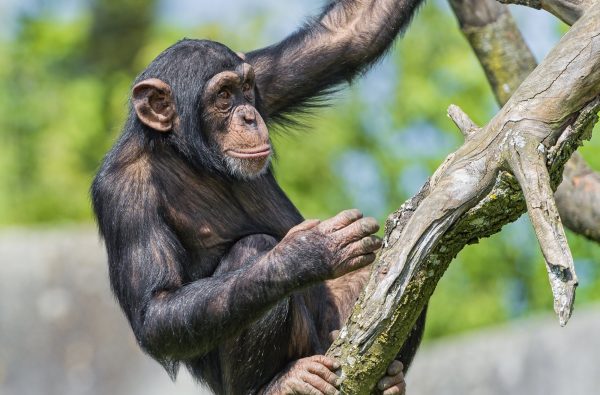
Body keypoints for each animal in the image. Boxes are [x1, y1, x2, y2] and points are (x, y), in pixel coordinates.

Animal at [91, 0, 426, 395]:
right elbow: (155, 310)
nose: (249, 116)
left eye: (245, 88)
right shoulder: (121, 195)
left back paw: (389, 379)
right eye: (223, 95)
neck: (185, 152)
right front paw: (305, 254)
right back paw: (281, 382)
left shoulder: (265, 76)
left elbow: (349, 36)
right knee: (252, 250)